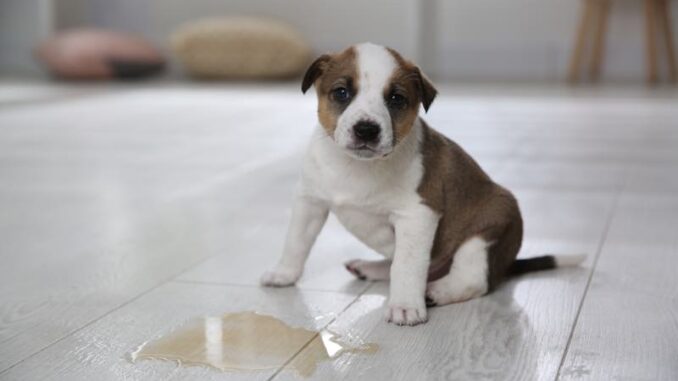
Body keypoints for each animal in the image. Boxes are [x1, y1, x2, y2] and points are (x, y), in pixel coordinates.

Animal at [260, 43, 584, 326]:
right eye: (341, 92)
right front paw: (284, 274)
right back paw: (370, 267)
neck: (357, 167)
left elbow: (407, 266)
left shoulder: (417, 216)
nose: (366, 129)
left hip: (486, 230)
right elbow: (296, 242)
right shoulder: (310, 202)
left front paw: (405, 307)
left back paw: (436, 291)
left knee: (473, 280)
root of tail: (506, 264)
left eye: (396, 99)